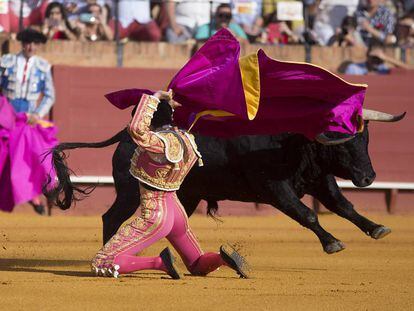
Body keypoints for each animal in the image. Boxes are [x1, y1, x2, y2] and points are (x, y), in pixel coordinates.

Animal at [47, 119, 402, 254]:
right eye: (343, 146)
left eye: (365, 141)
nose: (368, 178)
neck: (293, 140)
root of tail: (127, 134)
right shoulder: (275, 188)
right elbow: (308, 214)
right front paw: (332, 243)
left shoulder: (319, 179)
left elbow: (344, 206)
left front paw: (377, 228)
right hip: (131, 191)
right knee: (111, 217)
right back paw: (110, 252)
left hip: (185, 195)